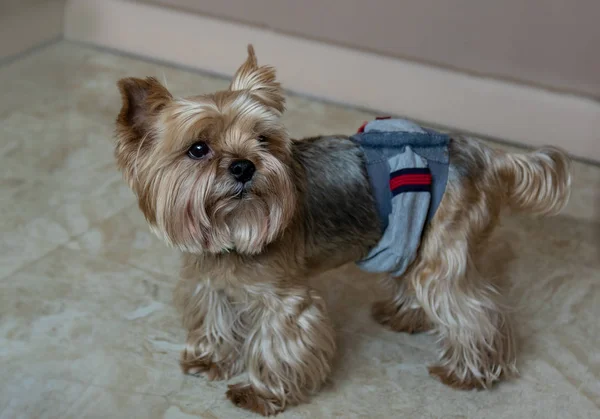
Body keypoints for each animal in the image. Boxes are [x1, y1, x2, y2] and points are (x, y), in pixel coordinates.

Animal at [113, 44, 572, 416]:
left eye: (262, 140)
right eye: (198, 148)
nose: (245, 165)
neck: (232, 227)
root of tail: (482, 154)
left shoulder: (285, 300)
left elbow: (279, 343)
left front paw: (261, 394)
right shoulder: (209, 282)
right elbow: (214, 320)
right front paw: (209, 360)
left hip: (443, 245)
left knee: (474, 310)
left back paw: (471, 371)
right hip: (415, 236)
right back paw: (404, 316)